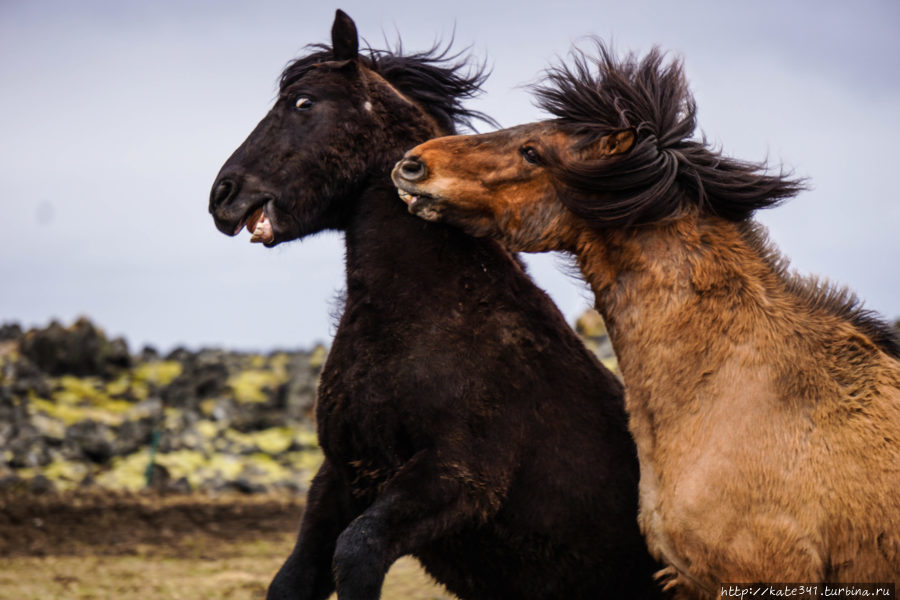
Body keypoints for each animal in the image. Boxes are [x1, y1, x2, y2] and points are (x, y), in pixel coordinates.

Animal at [209, 9, 660, 600]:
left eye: (303, 102)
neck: (423, 314)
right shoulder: (341, 476)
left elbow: (356, 551)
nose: (222, 195)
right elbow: (293, 579)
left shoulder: (459, 479)